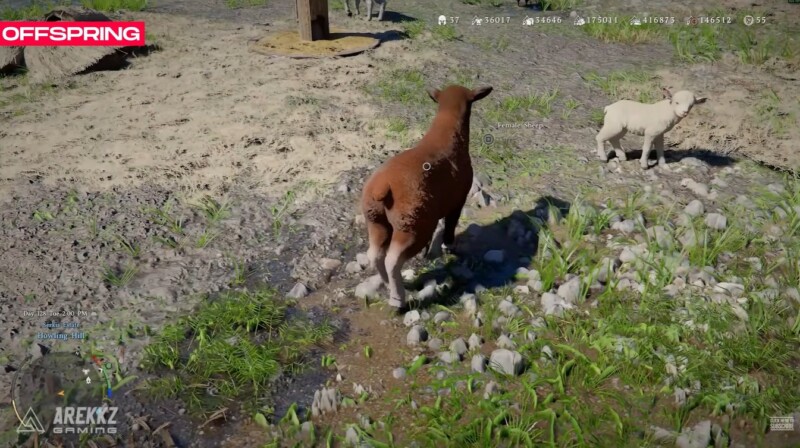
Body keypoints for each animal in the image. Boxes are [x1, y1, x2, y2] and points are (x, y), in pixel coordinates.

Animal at [361, 84, 493, 310]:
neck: (447, 134)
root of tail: (382, 186)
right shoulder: (457, 202)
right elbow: (450, 226)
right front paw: (449, 247)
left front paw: (428, 253)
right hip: (411, 227)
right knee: (392, 260)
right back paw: (398, 299)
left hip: (377, 221)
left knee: (375, 255)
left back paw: (388, 284)